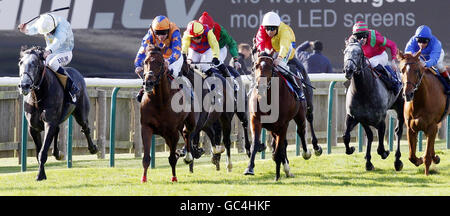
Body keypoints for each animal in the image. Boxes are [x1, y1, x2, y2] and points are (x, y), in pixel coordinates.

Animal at [18, 46, 98, 181]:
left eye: (35, 64)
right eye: (20, 63)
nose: (24, 85)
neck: (38, 97)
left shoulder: (49, 122)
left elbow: (42, 152)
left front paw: (40, 175)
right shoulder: (33, 127)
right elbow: (38, 152)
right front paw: (42, 173)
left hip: (81, 113)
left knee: (85, 127)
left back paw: (92, 148)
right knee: (58, 129)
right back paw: (57, 153)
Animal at [243, 52, 310, 181]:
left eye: (271, 68)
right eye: (255, 66)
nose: (261, 86)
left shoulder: (283, 124)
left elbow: (278, 150)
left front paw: (277, 175)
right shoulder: (256, 120)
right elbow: (256, 144)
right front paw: (249, 168)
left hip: (299, 115)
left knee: (301, 130)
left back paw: (306, 153)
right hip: (272, 127)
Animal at [342, 39, 406, 171]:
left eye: (359, 53)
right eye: (345, 52)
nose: (348, 70)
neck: (363, 91)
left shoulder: (380, 119)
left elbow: (380, 143)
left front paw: (384, 152)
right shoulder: (356, 117)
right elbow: (348, 136)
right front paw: (356, 153)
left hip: (400, 107)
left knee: (398, 131)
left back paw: (397, 161)